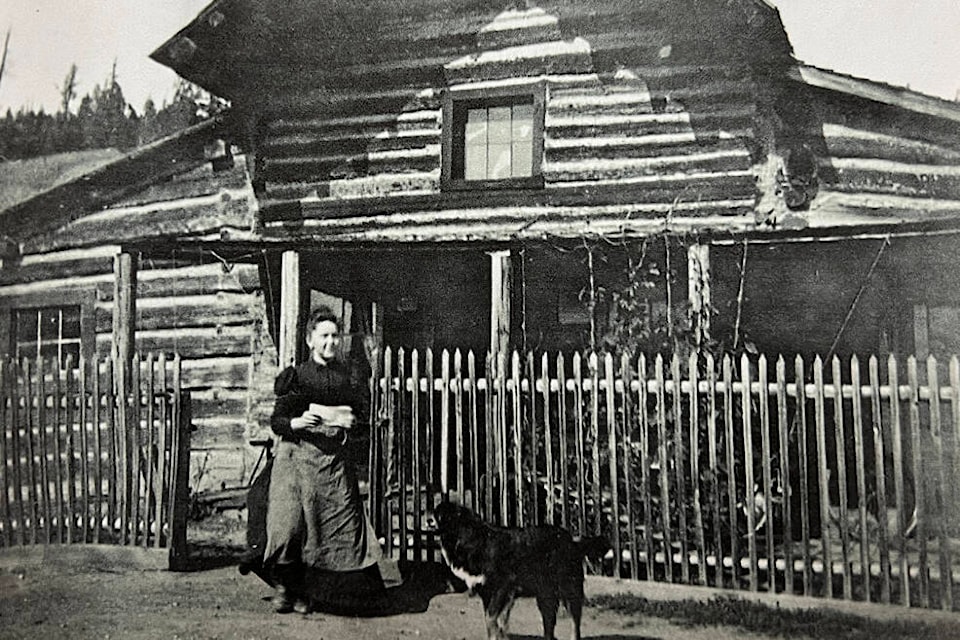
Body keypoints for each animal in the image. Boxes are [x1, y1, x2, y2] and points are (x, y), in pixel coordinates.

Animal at [430, 500, 608, 640]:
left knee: (574, 621)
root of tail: (572, 541)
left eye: (439, 515)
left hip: (568, 588)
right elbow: (491, 620)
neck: (472, 539)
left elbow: (491, 618)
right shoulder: (486, 592)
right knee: (549, 622)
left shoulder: (502, 587)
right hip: (545, 595)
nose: (427, 519)